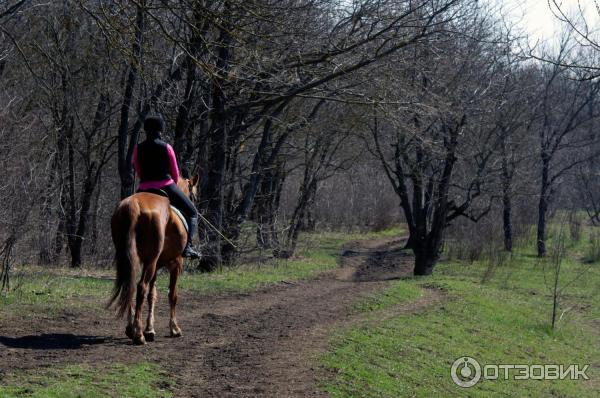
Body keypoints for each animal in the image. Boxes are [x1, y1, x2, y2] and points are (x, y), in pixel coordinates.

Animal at [108, 176, 199, 344]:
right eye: (194, 195)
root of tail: (132, 206)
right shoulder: (176, 263)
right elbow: (172, 295)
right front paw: (174, 328)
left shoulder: (156, 266)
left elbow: (153, 295)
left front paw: (150, 329)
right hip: (151, 261)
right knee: (141, 287)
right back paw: (138, 334)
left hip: (131, 259)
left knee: (130, 286)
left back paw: (131, 329)